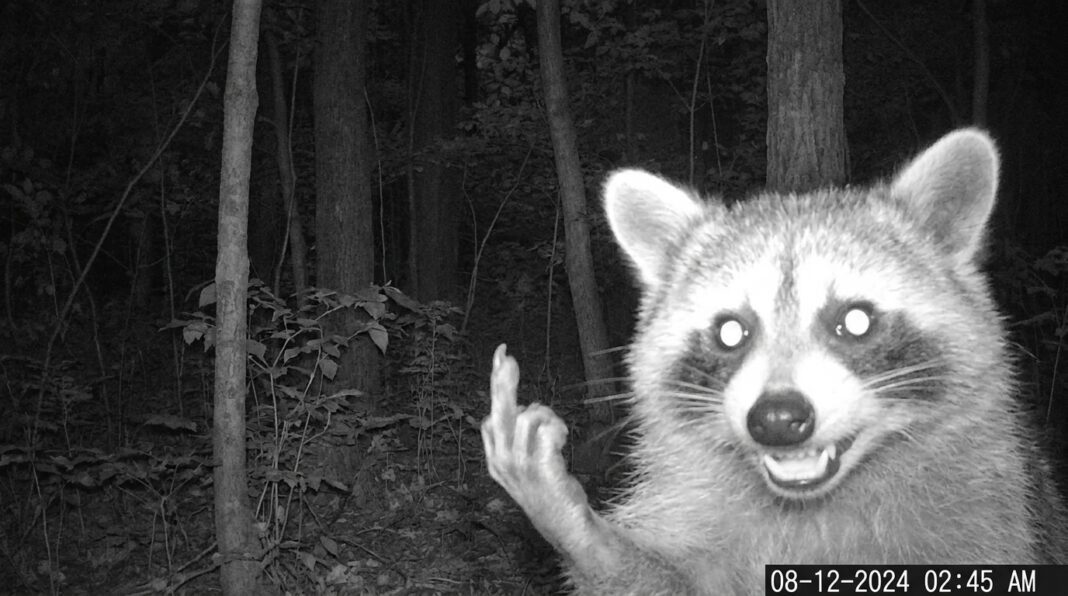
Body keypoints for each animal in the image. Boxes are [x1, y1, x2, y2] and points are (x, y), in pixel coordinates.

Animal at [481, 129, 1068, 595]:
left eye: (856, 321)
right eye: (730, 331)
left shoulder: (995, 520)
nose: (777, 420)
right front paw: (576, 525)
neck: (816, 501)